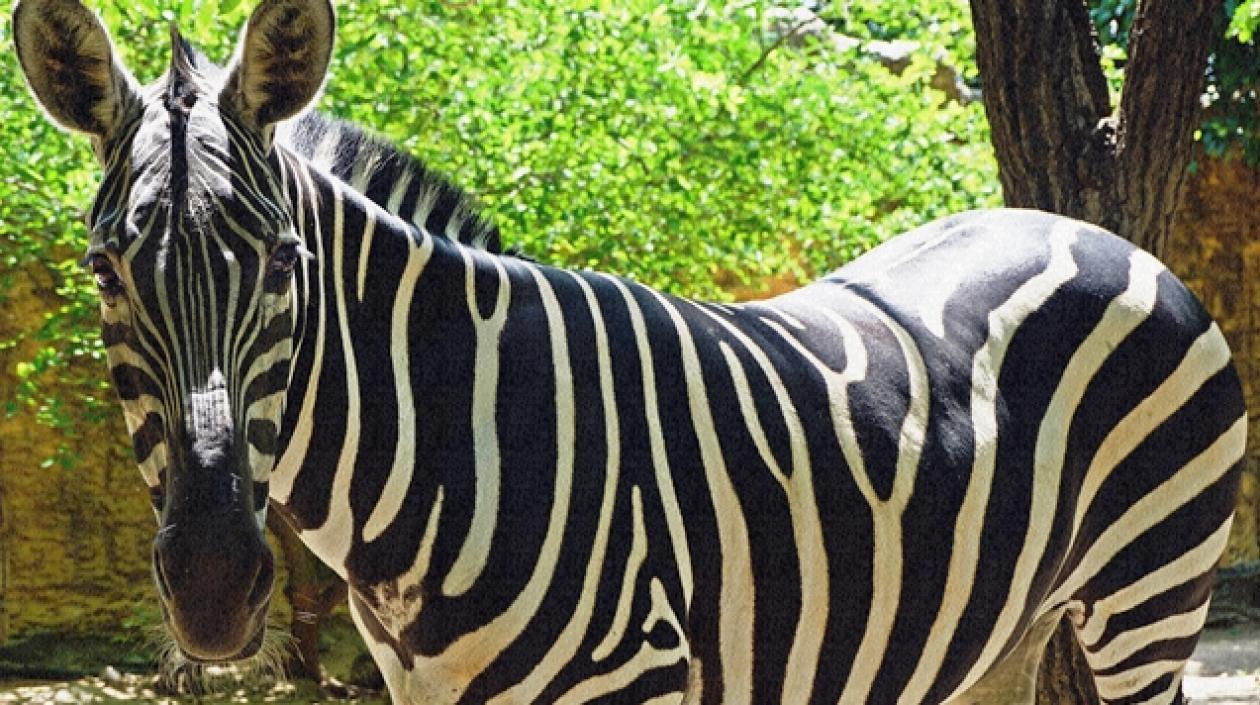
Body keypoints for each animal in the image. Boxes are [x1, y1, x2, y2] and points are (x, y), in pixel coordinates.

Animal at [13, 0, 1246, 703]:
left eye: (280, 263)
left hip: (1150, 594)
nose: (213, 586)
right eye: (103, 271)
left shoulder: (633, 681)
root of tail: (1099, 233)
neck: (456, 444)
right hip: (1000, 633)